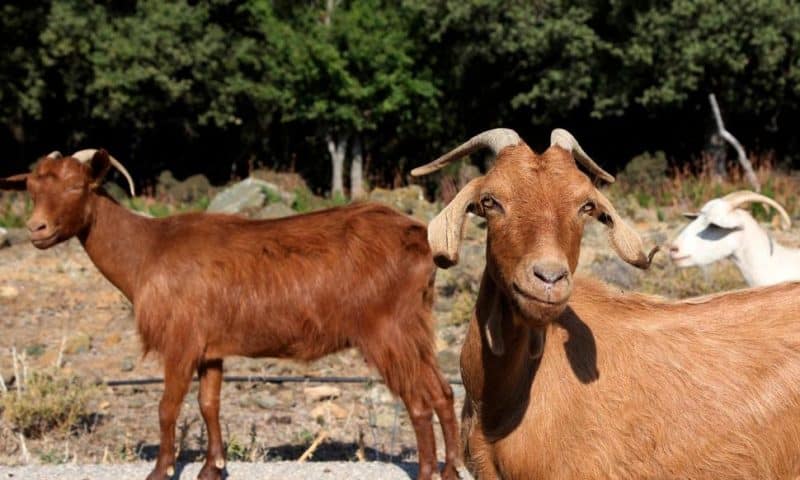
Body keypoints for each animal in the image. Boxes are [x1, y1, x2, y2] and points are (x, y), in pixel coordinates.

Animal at [0, 152, 460, 480]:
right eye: (31, 188)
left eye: (77, 185)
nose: (36, 229)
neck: (147, 250)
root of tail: (422, 238)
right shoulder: (210, 349)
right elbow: (209, 405)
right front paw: (212, 468)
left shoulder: (181, 341)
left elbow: (167, 406)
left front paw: (160, 471)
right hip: (415, 328)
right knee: (442, 392)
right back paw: (452, 469)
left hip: (387, 331)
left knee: (418, 402)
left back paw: (427, 473)